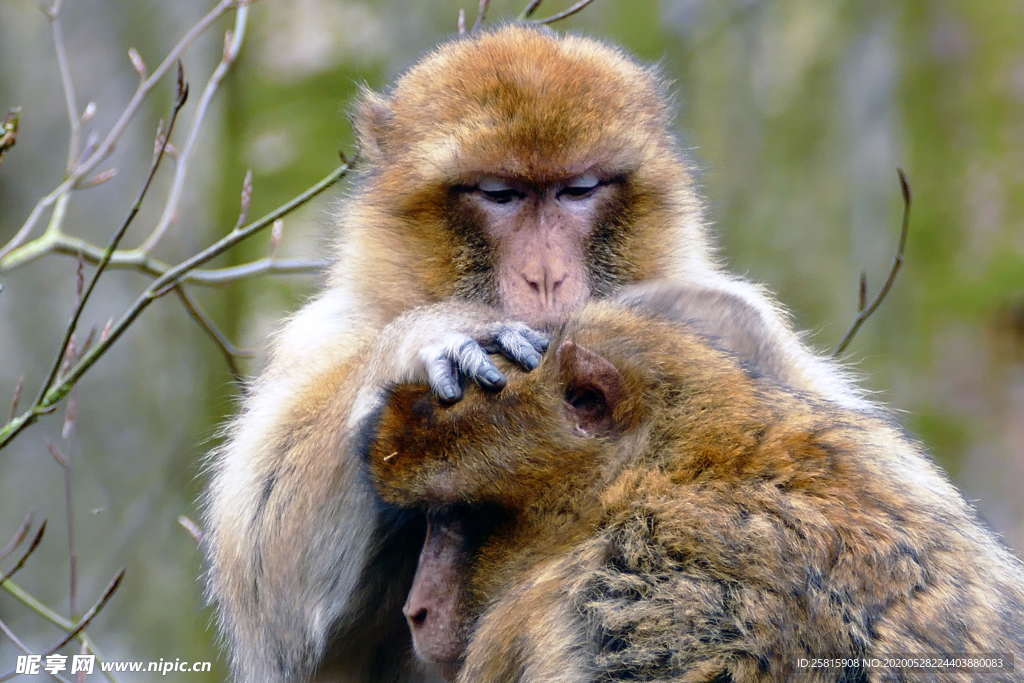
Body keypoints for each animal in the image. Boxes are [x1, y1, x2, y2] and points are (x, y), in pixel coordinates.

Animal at [203, 24, 868, 679]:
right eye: (501, 194)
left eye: (576, 191)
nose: (545, 276)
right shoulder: (323, 333)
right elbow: (271, 596)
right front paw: (433, 336)